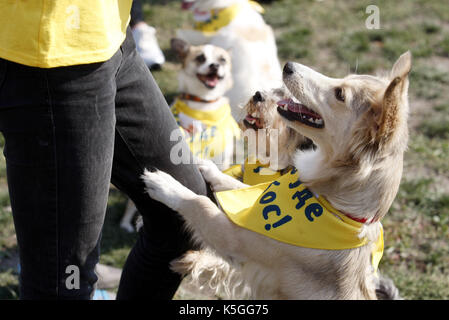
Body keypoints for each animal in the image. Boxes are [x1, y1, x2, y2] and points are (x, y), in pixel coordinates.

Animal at [143, 51, 410, 298]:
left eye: (340, 94)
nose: (288, 66)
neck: (337, 209)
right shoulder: (257, 196)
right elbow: (236, 186)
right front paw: (204, 165)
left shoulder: (235, 238)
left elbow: (200, 203)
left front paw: (165, 184)